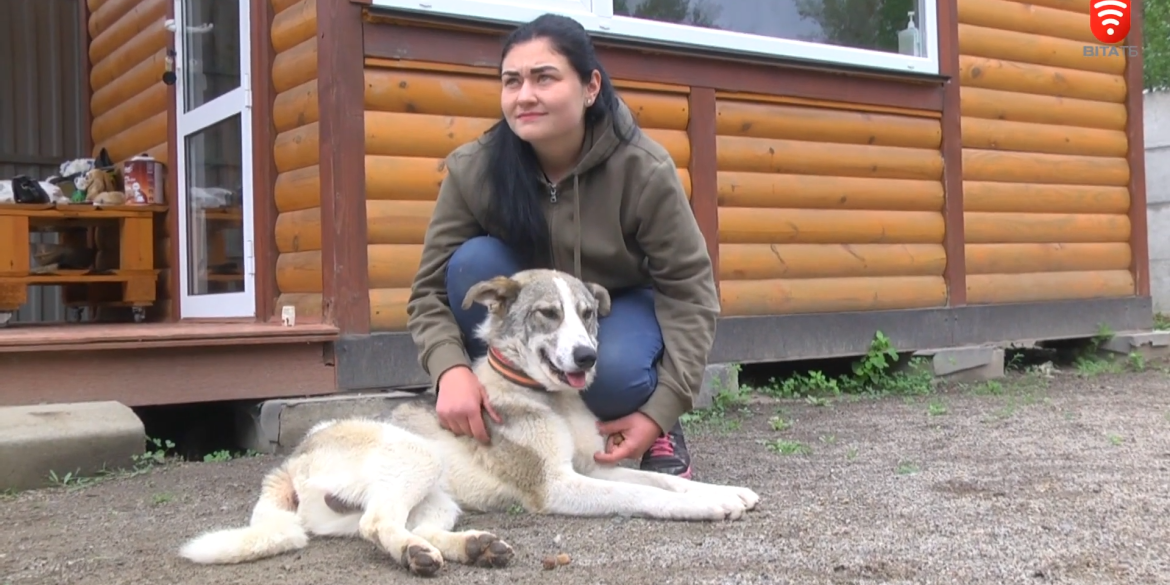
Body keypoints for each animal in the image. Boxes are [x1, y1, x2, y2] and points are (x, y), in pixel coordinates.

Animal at [173, 269, 758, 575]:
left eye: (588, 314)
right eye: (548, 314)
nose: (588, 356)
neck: (548, 398)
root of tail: (293, 461)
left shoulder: (594, 467)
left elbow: (660, 480)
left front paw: (724, 491)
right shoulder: (558, 485)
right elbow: (645, 493)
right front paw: (708, 506)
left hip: (439, 496)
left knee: (406, 524)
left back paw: (470, 547)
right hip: (416, 456)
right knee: (375, 524)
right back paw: (417, 555)